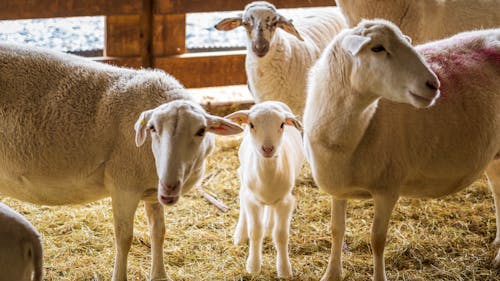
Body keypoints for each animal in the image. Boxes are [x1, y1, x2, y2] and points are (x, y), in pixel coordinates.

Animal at [0, 42, 244, 278]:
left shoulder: (153, 192)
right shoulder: (124, 185)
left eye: (201, 131)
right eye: (152, 129)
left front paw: (159, 275)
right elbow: (124, 238)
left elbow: (158, 232)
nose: (169, 186)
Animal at [227, 101, 304, 278]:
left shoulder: (286, 202)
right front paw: (253, 267)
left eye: (282, 124)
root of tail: (271, 101)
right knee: (242, 200)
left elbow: (281, 235)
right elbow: (255, 231)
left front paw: (284, 270)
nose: (268, 149)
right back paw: (240, 234)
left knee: (270, 210)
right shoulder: (252, 200)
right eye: (251, 124)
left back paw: (269, 226)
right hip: (242, 176)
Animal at [302, 20, 500, 280]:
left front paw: (379, 276)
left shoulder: (388, 187)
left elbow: (377, 240)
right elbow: (336, 230)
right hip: (495, 156)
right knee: (498, 191)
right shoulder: (338, 186)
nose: (434, 84)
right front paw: (331, 274)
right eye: (377, 48)